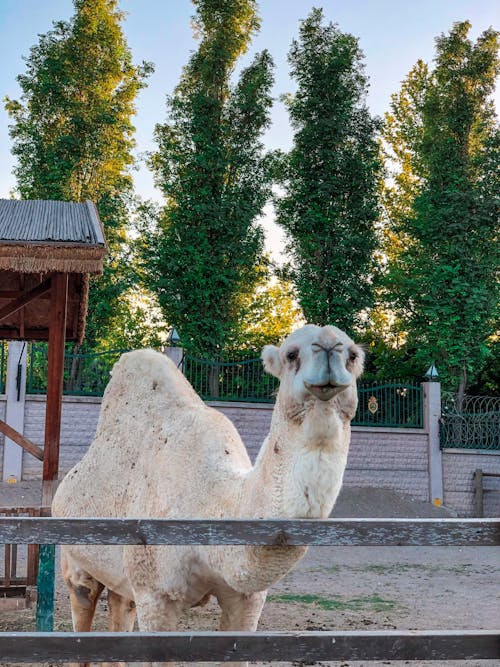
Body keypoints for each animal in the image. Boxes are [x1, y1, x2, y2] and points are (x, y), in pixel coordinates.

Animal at [52, 324, 364, 664]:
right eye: (291, 354)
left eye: (353, 355)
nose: (328, 349)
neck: (213, 500)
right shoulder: (155, 594)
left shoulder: (247, 598)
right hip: (75, 559)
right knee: (83, 602)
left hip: (123, 579)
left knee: (121, 607)